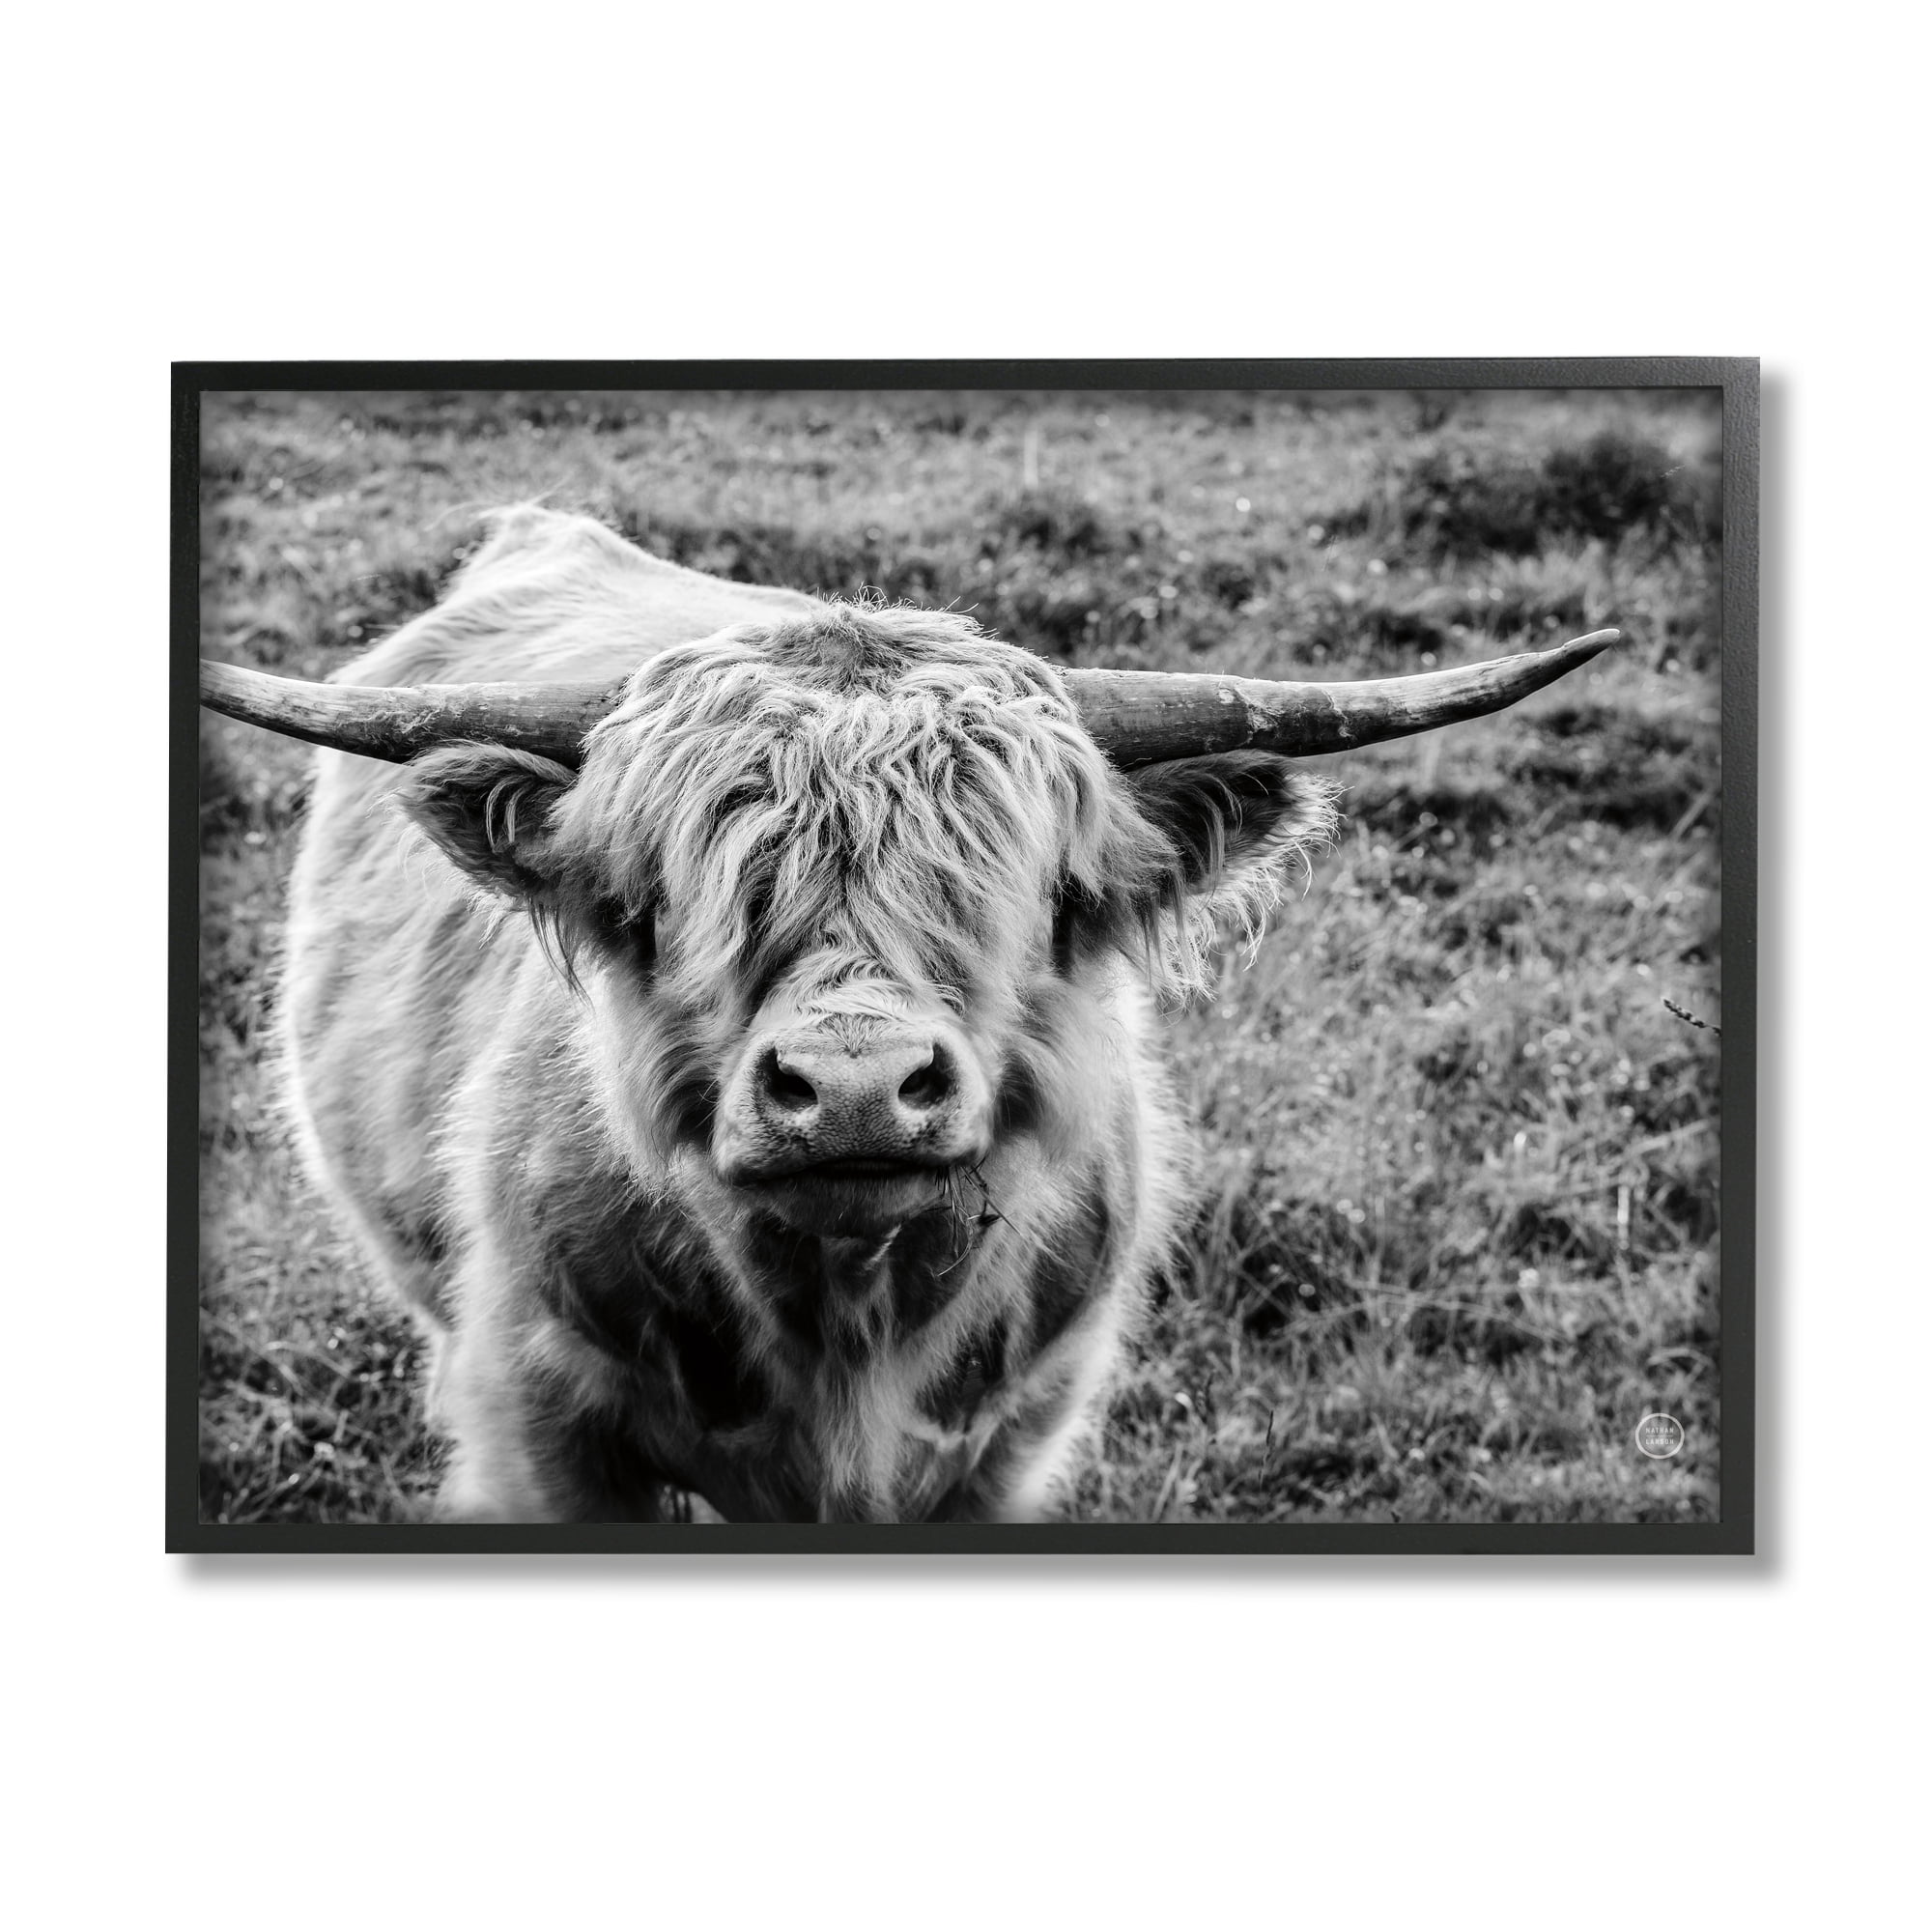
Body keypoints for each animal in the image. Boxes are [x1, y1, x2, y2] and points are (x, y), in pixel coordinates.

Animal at [201, 505, 1615, 1523]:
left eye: (1031, 890)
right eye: (678, 893)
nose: (855, 1088)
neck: (843, 1327)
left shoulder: (1012, 1439)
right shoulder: (538, 1422)